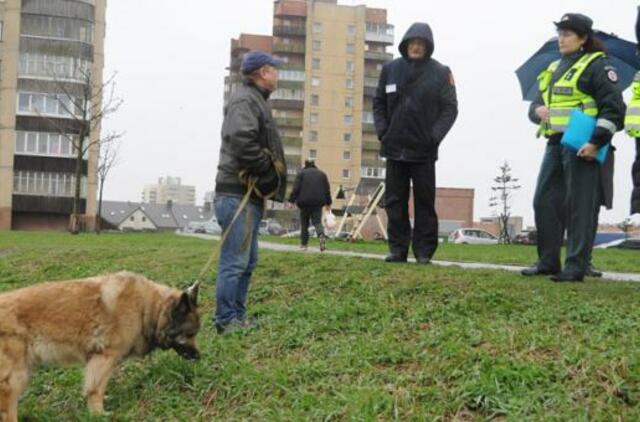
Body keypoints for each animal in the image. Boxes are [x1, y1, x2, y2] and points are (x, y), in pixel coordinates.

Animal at [0, 272, 200, 420]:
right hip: (15, 379)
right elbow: (95, 389)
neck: (146, 307)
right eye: (190, 334)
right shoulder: (105, 358)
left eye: (195, 334)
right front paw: (98, 413)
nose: (199, 357)